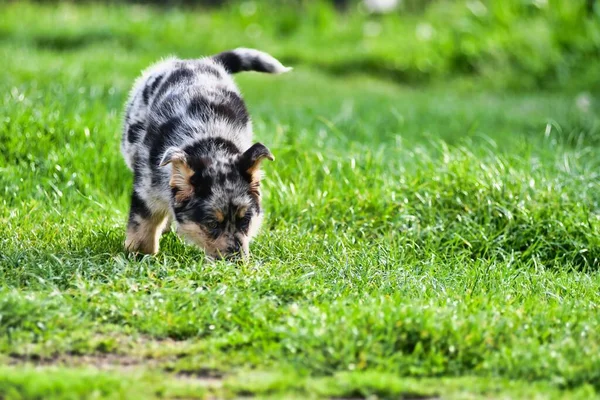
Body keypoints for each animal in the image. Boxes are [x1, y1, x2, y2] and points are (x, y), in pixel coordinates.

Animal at [120, 47, 290, 260]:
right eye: (212, 223)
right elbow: (143, 227)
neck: (209, 143)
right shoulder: (146, 189)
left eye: (245, 220)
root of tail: (199, 62)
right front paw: (138, 257)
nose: (237, 263)